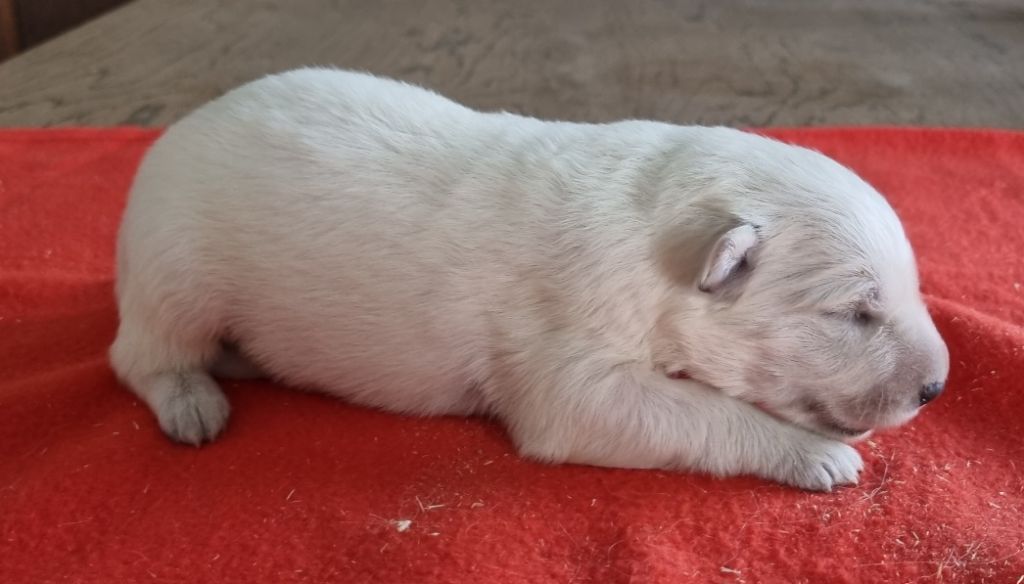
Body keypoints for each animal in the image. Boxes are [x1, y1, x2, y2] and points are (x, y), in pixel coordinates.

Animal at [110, 68, 949, 491]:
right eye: (855, 313)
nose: (937, 387)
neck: (660, 227)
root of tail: (180, 127)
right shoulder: (567, 366)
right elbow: (688, 411)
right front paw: (816, 454)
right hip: (174, 268)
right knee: (137, 355)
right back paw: (191, 402)